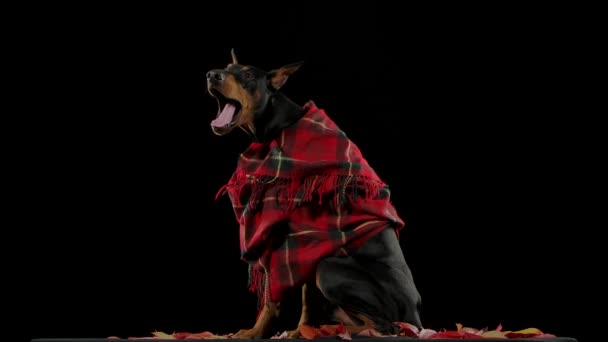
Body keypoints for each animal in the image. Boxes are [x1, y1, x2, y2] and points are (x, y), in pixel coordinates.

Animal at [207, 49, 420, 338]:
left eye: (249, 75)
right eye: (228, 68)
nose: (212, 75)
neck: (280, 124)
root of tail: (416, 315)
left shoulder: (282, 235)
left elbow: (272, 298)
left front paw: (254, 332)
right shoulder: (305, 246)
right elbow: (307, 298)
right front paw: (301, 330)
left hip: (329, 268)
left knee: (387, 326)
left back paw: (341, 330)